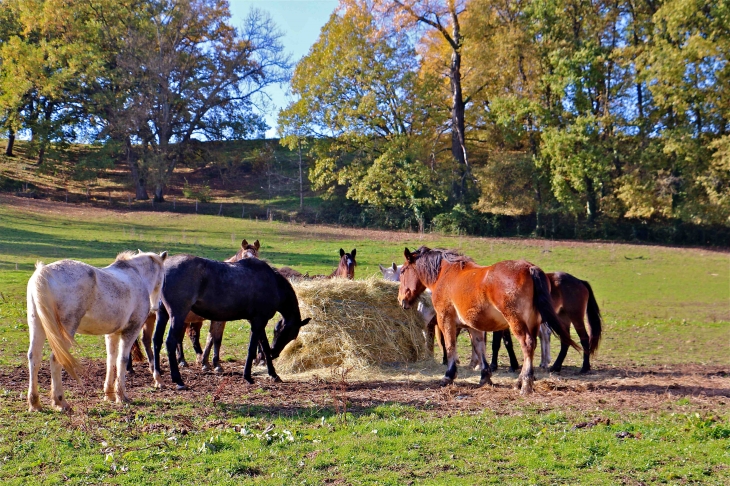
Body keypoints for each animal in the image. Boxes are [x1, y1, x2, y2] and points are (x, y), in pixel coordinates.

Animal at [26, 249, 166, 412]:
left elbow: (111, 359)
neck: (136, 275)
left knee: (34, 357)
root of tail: (45, 272)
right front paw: (121, 395)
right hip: (66, 330)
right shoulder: (131, 330)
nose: (156, 307)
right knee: (56, 359)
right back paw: (60, 402)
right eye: (163, 276)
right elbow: (122, 360)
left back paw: (35, 403)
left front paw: (109, 394)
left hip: (37, 326)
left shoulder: (112, 334)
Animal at [154, 252, 310, 390]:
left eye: (278, 331)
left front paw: (273, 374)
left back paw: (158, 377)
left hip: (162, 314)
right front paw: (248, 376)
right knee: (170, 342)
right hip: (178, 315)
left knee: (157, 340)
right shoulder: (259, 321)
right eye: (291, 335)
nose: (275, 353)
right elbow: (252, 348)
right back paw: (178, 380)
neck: (273, 283)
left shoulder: (257, 321)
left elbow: (263, 346)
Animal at [396, 247, 576, 394]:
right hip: (533, 323)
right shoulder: (472, 325)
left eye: (403, 271)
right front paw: (484, 376)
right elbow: (479, 347)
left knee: (527, 345)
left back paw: (525, 384)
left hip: (517, 323)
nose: (401, 300)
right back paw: (520, 381)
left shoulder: (445, 319)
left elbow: (450, 345)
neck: (445, 273)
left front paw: (449, 375)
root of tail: (529, 268)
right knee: (531, 348)